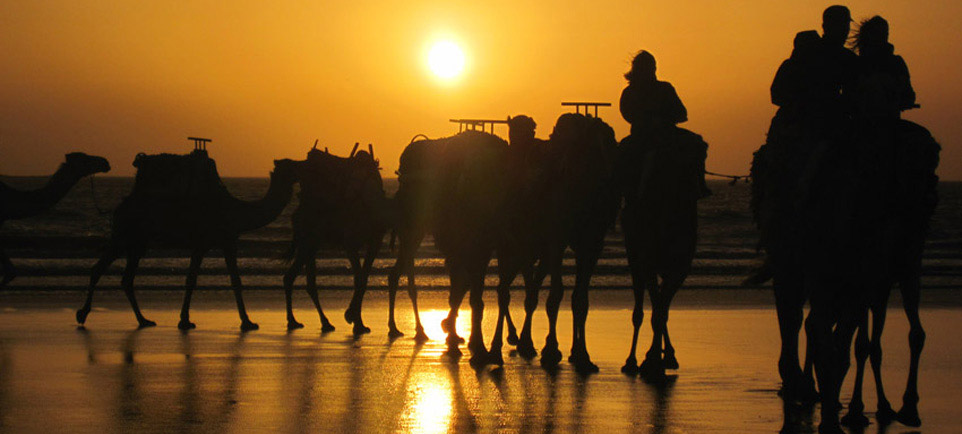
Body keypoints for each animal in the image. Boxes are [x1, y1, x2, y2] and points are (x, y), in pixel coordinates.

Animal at [75, 151, 296, 330]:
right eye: (291, 164)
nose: (301, 163)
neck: (236, 211)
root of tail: (118, 207)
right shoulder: (203, 243)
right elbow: (193, 280)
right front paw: (186, 320)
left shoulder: (226, 242)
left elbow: (233, 280)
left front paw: (247, 322)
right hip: (124, 236)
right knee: (99, 269)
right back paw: (83, 314)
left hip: (137, 244)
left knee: (126, 279)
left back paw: (144, 320)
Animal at [282, 144, 390, 334]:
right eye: (352, 177)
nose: (348, 195)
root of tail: (296, 214)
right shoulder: (350, 243)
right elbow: (359, 279)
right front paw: (354, 320)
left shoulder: (374, 242)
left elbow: (364, 278)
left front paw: (356, 320)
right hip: (307, 240)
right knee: (293, 277)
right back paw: (295, 321)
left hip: (311, 243)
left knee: (307, 281)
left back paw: (323, 322)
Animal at [384, 131, 510, 364]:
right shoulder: (459, 245)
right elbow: (462, 290)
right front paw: (464, 341)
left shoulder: (484, 246)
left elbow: (468, 290)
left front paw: (465, 339)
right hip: (412, 227)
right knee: (403, 272)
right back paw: (413, 329)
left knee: (397, 272)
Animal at [620, 127, 700, 378]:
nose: (640, 196)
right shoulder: (646, 263)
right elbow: (655, 311)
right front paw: (651, 359)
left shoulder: (681, 268)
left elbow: (662, 311)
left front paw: (661, 357)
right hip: (635, 257)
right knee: (640, 307)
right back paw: (632, 360)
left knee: (660, 306)